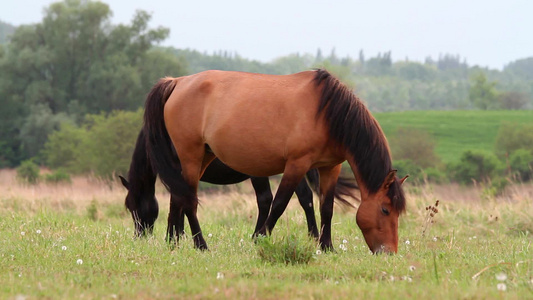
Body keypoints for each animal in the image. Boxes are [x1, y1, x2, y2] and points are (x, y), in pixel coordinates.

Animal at [118, 130, 356, 245]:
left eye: (134, 208)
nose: (139, 235)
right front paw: (178, 235)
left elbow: (176, 202)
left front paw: (173, 236)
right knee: (304, 198)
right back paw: (313, 235)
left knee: (268, 199)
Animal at [143, 68, 406, 253]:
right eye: (385, 209)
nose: (389, 252)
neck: (327, 114)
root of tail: (177, 82)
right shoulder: (297, 164)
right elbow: (279, 204)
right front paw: (260, 239)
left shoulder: (330, 167)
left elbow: (327, 208)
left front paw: (327, 247)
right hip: (191, 155)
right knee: (189, 201)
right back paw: (200, 245)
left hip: (202, 158)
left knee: (178, 196)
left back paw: (173, 242)